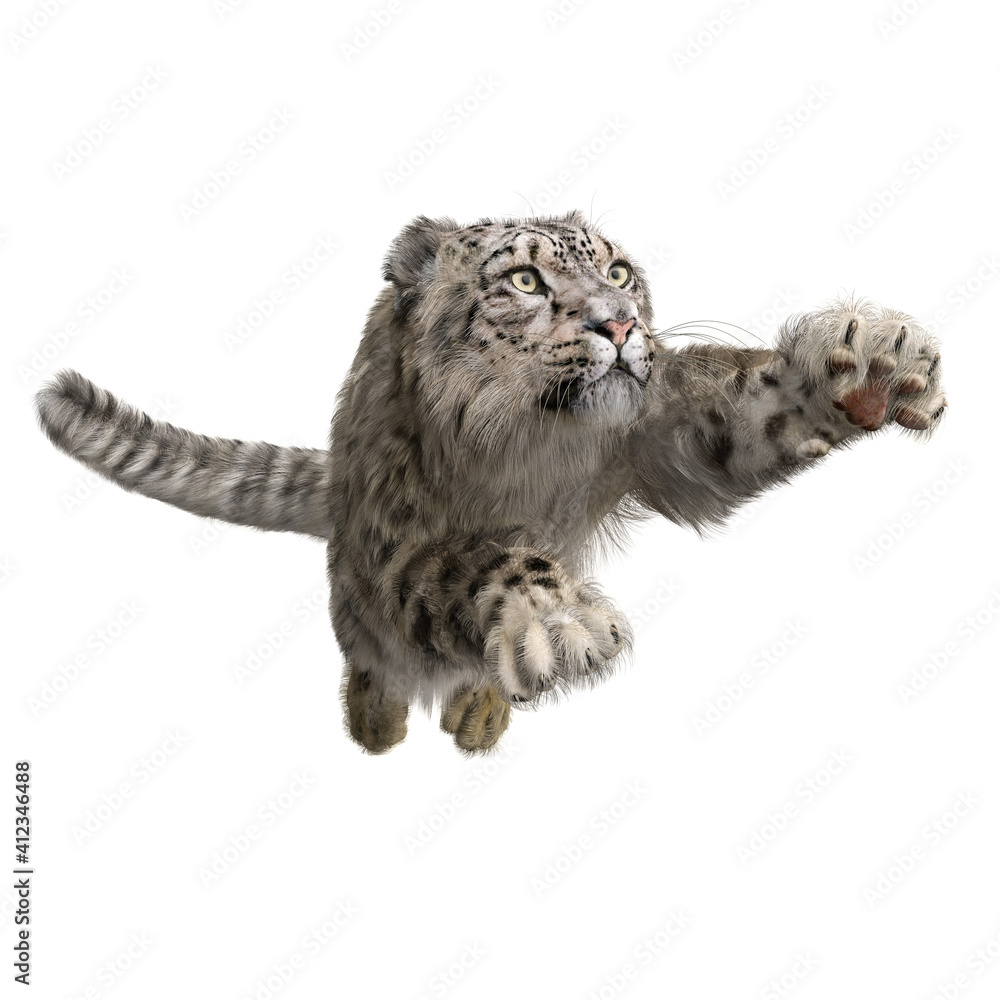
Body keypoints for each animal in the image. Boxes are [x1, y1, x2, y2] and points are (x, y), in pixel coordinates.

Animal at [35, 211, 947, 754]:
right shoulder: (403, 540)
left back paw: (478, 711)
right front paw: (560, 622)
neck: (541, 449)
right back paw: (376, 719)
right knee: (366, 639)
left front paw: (873, 359)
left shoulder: (674, 436)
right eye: (525, 281)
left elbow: (752, 411)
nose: (619, 324)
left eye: (620, 272)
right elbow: (482, 559)